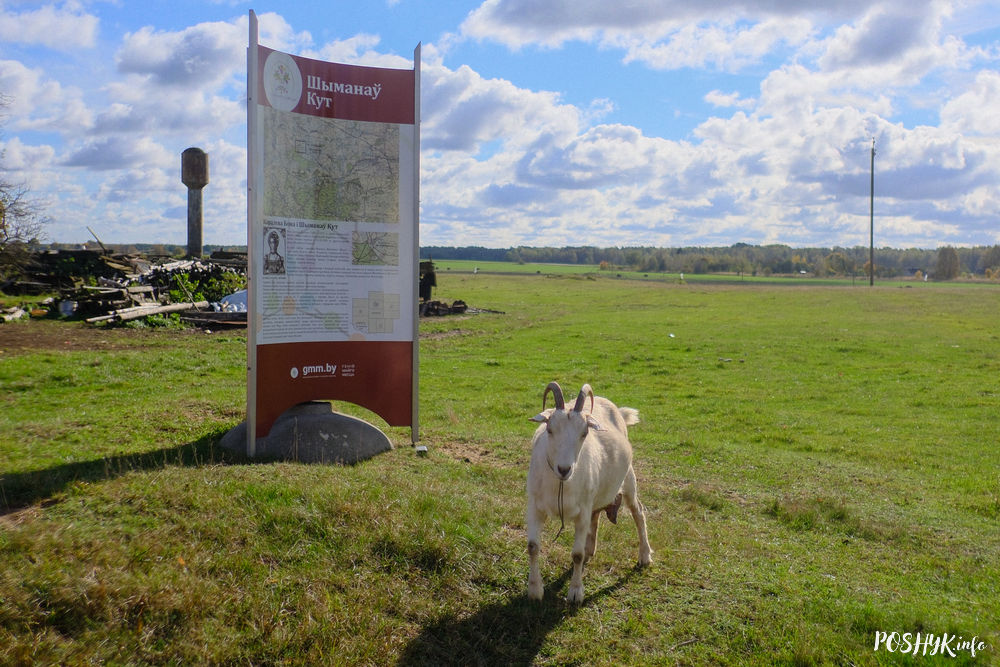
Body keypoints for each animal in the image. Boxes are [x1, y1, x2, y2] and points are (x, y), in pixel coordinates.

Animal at [528, 380, 652, 604]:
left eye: (584, 433)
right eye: (549, 429)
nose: (564, 469)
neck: (560, 485)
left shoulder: (582, 512)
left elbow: (576, 554)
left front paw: (576, 592)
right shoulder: (534, 506)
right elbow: (533, 546)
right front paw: (534, 590)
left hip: (628, 479)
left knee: (638, 513)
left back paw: (645, 556)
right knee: (596, 517)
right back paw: (590, 549)